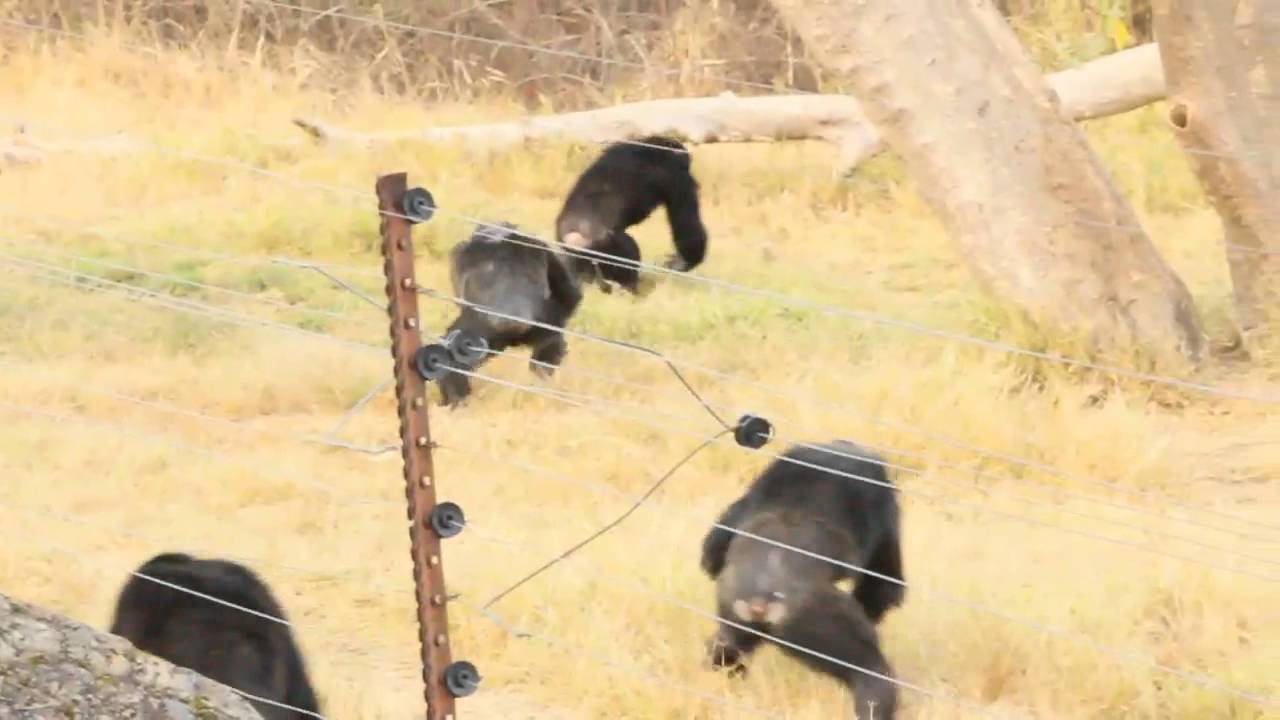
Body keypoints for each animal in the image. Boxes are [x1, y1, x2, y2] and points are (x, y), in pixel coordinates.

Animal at [554, 135, 708, 294]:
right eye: (686, 163)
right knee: (629, 247)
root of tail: (574, 235)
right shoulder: (676, 175)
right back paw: (629, 288)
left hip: (575, 250)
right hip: (607, 245)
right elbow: (685, 218)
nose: (689, 164)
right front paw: (682, 263)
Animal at [699, 440, 905, 720]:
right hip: (813, 619)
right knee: (869, 670)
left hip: (735, 607)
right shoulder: (881, 496)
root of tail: (760, 600)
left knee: (727, 647)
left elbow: (714, 549)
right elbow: (883, 584)